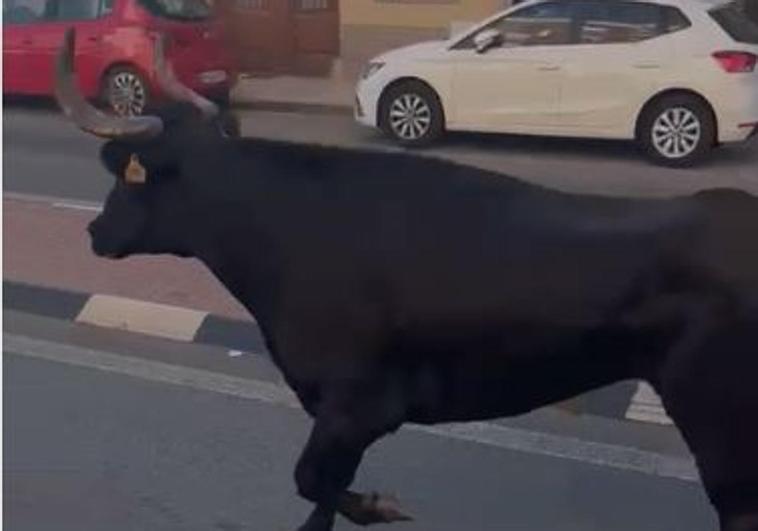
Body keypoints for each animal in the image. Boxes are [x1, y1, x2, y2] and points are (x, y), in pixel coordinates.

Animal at [55, 30, 758, 531]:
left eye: (127, 173)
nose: (94, 232)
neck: (287, 227)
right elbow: (318, 502)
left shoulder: (358, 404)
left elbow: (313, 481)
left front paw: (380, 506)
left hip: (718, 421)